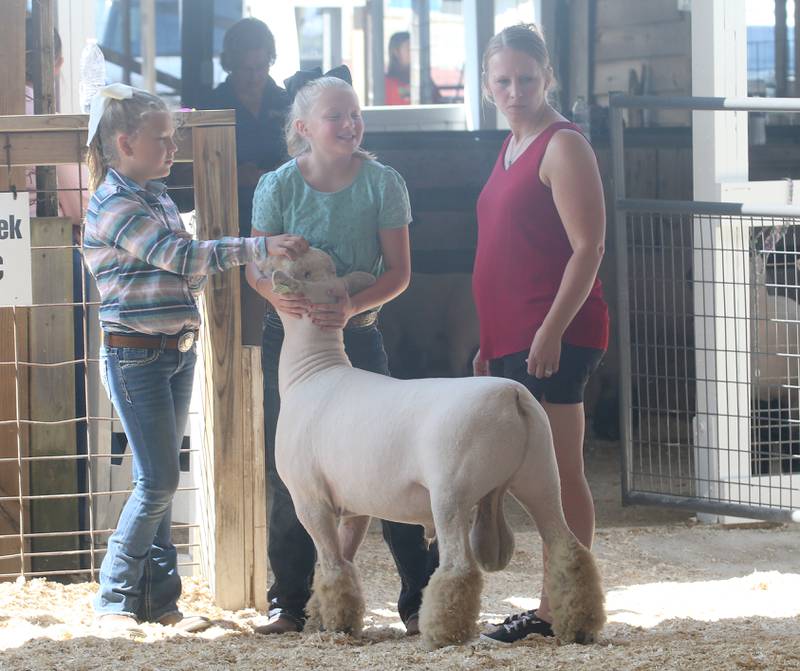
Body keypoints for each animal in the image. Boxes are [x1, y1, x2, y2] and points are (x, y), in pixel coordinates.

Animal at [260, 248, 604, 652]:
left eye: (306, 272)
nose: (266, 262)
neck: (313, 372)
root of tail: (512, 396)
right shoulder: (355, 504)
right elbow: (344, 563)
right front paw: (329, 617)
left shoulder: (310, 498)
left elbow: (330, 566)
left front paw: (334, 625)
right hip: (541, 475)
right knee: (569, 550)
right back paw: (579, 625)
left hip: (452, 491)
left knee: (458, 566)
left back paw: (442, 631)